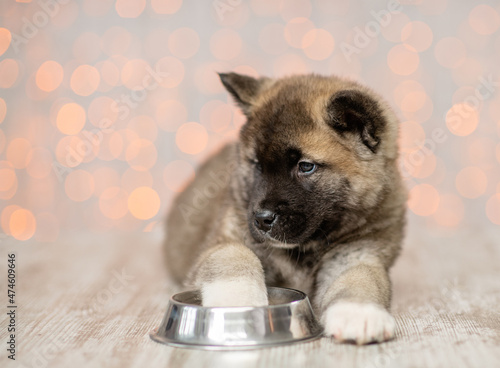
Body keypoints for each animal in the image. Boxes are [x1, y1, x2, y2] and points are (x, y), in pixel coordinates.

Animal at [164, 72, 406, 344]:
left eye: (306, 166)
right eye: (257, 165)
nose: (261, 219)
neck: (306, 248)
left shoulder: (359, 254)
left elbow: (361, 278)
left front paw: (359, 313)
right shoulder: (223, 239)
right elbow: (233, 255)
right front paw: (237, 300)